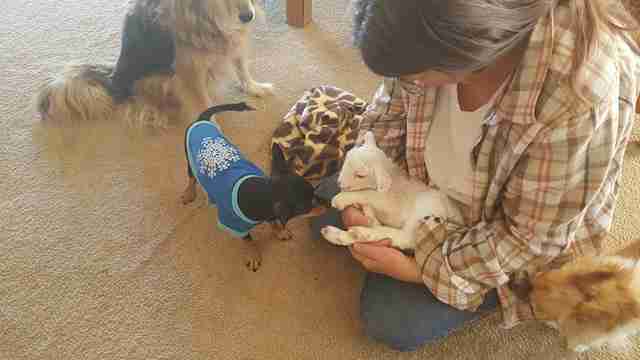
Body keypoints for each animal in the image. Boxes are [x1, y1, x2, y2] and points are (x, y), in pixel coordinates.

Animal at [34, 0, 272, 128]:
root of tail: (113, 81)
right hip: (159, 80)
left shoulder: (235, 41)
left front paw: (254, 87)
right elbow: (203, 103)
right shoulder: (189, 70)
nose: (247, 16)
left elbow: (241, 66)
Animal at [182, 102, 328, 272]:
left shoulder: (270, 214)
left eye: (314, 192)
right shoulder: (234, 225)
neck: (258, 191)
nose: (328, 204)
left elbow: (274, 222)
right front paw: (253, 256)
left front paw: (280, 232)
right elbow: (248, 240)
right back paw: (189, 194)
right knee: (191, 178)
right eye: (308, 206)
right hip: (189, 159)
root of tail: (202, 119)